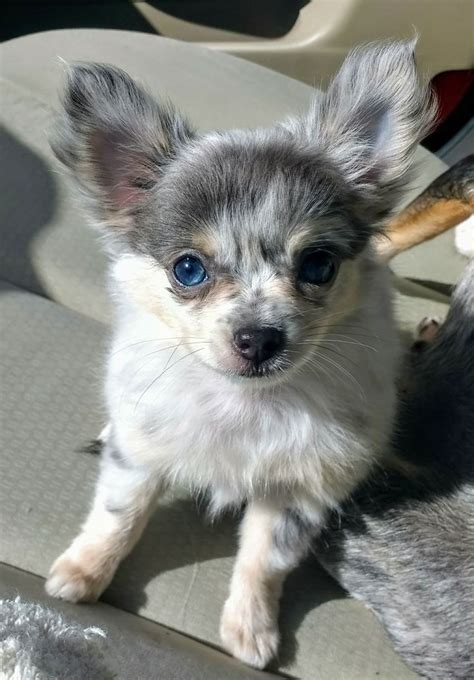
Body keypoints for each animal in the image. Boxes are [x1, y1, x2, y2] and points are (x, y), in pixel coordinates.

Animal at [46, 42, 436, 668]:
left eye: (318, 265)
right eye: (188, 269)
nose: (258, 339)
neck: (246, 404)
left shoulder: (298, 490)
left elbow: (263, 561)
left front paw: (251, 629)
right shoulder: (143, 455)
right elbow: (117, 518)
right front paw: (83, 574)